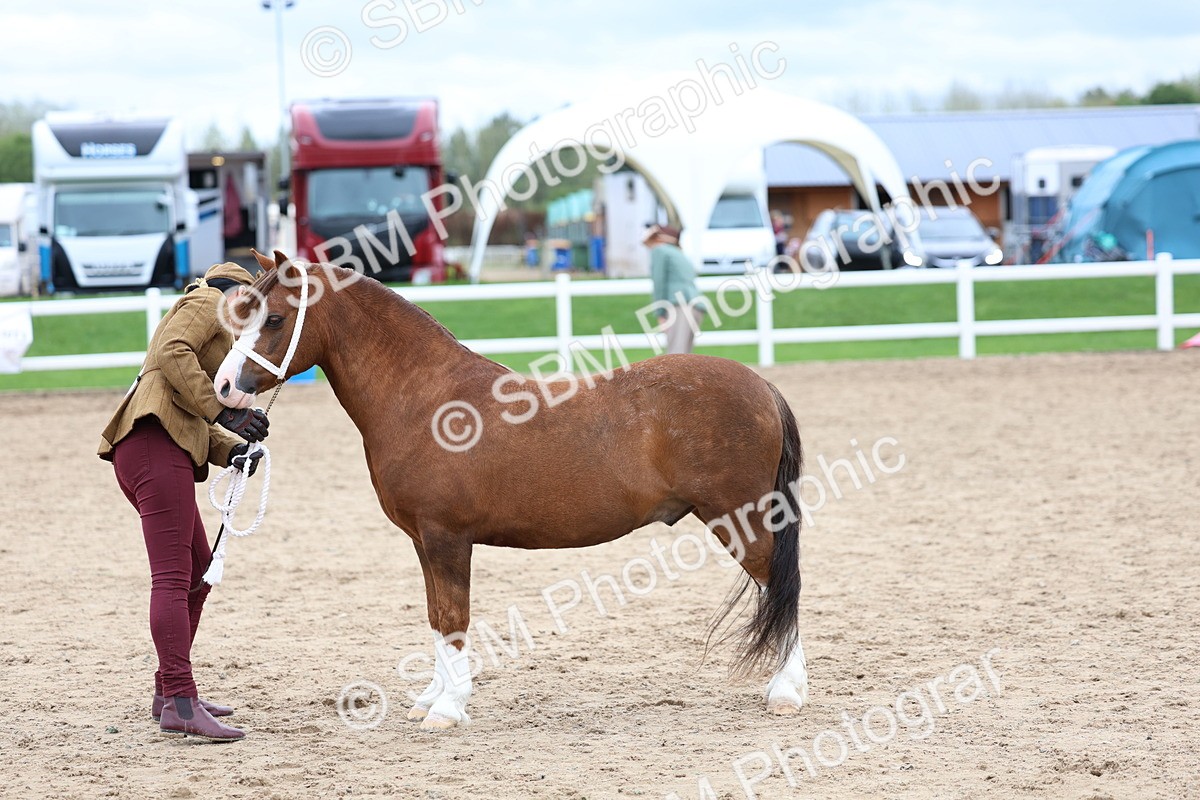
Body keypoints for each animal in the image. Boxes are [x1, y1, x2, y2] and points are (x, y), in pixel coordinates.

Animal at [212, 250, 808, 730]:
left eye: (274, 318)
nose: (223, 386)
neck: (426, 400)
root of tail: (762, 386)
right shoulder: (424, 542)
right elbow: (436, 615)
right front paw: (432, 698)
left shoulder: (447, 538)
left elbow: (454, 617)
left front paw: (448, 710)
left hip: (742, 518)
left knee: (779, 587)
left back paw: (786, 693)